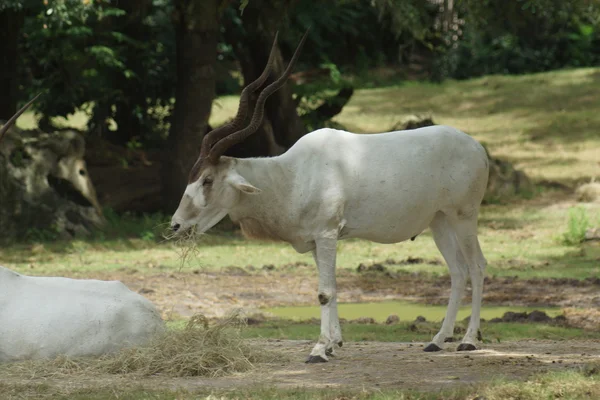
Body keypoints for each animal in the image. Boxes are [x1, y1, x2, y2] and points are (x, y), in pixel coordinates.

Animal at [169, 31, 488, 362]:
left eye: (207, 179)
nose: (176, 225)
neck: (291, 176)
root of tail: (477, 147)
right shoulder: (315, 241)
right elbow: (330, 287)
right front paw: (335, 343)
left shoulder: (326, 234)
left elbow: (324, 292)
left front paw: (319, 349)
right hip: (439, 222)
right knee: (458, 271)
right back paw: (438, 339)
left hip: (464, 217)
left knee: (476, 266)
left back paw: (469, 340)